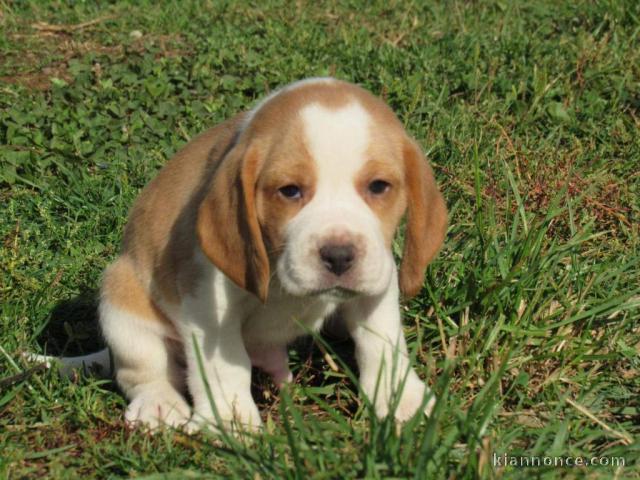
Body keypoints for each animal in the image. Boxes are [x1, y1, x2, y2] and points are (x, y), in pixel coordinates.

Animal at [100, 77, 448, 430]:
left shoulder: (378, 279)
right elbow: (226, 367)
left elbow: (382, 341)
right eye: (290, 191)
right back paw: (159, 404)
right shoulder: (207, 304)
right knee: (145, 372)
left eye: (378, 186)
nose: (339, 255)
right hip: (120, 303)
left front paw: (402, 398)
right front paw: (230, 422)